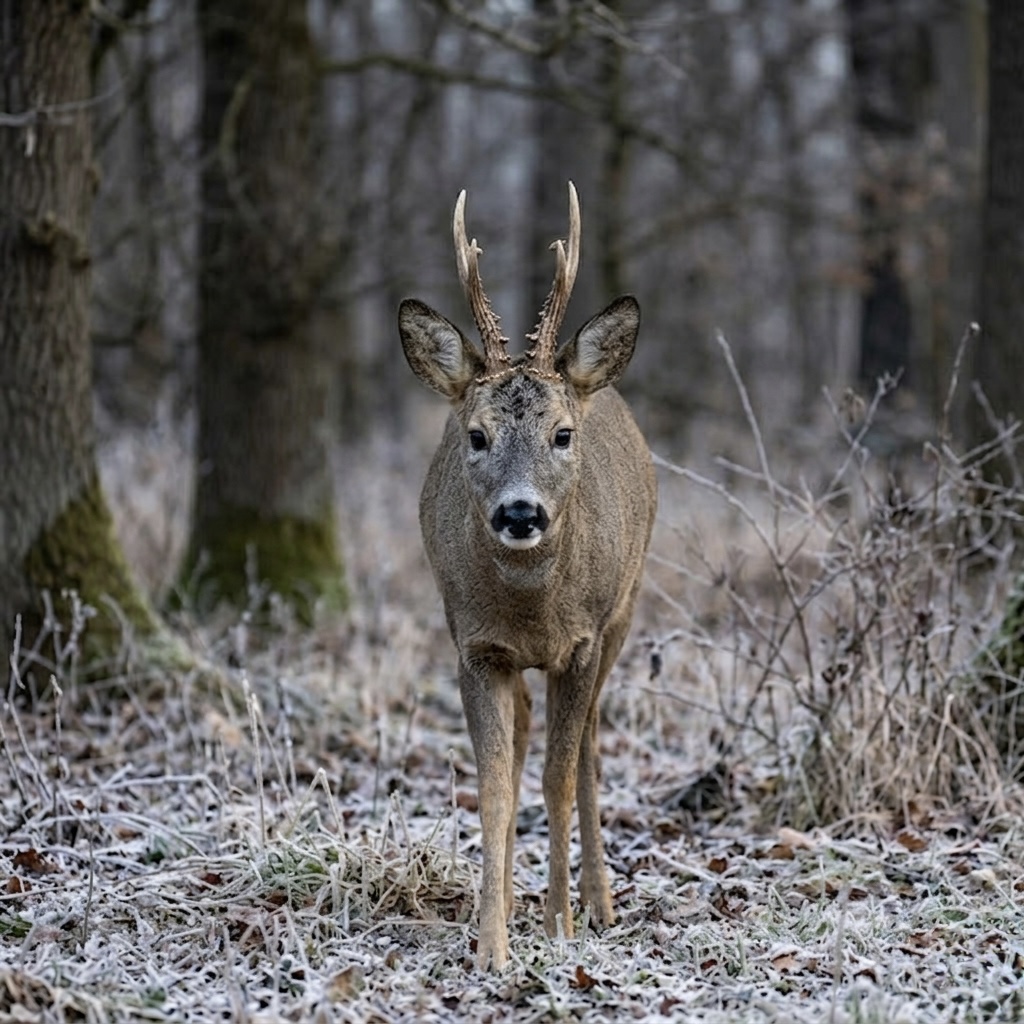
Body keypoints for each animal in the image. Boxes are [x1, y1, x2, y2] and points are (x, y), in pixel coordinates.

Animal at [398, 182, 656, 971]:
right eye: (476, 435)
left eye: (561, 434)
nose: (519, 511)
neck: (534, 612)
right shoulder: (475, 646)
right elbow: (496, 786)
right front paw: (492, 941)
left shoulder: (583, 640)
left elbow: (558, 778)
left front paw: (560, 924)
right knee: (522, 738)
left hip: (625, 611)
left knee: (592, 748)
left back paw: (599, 903)